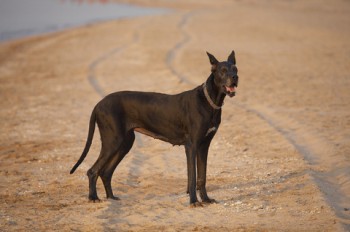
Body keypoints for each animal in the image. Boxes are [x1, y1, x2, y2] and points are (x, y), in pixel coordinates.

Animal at [69, 50, 238, 207]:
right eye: (223, 70)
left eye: (235, 69)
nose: (235, 78)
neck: (209, 101)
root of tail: (98, 104)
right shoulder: (192, 146)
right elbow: (193, 176)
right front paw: (193, 201)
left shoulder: (204, 146)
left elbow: (202, 176)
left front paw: (206, 199)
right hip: (113, 141)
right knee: (93, 171)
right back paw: (93, 197)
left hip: (125, 143)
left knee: (106, 172)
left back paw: (111, 197)